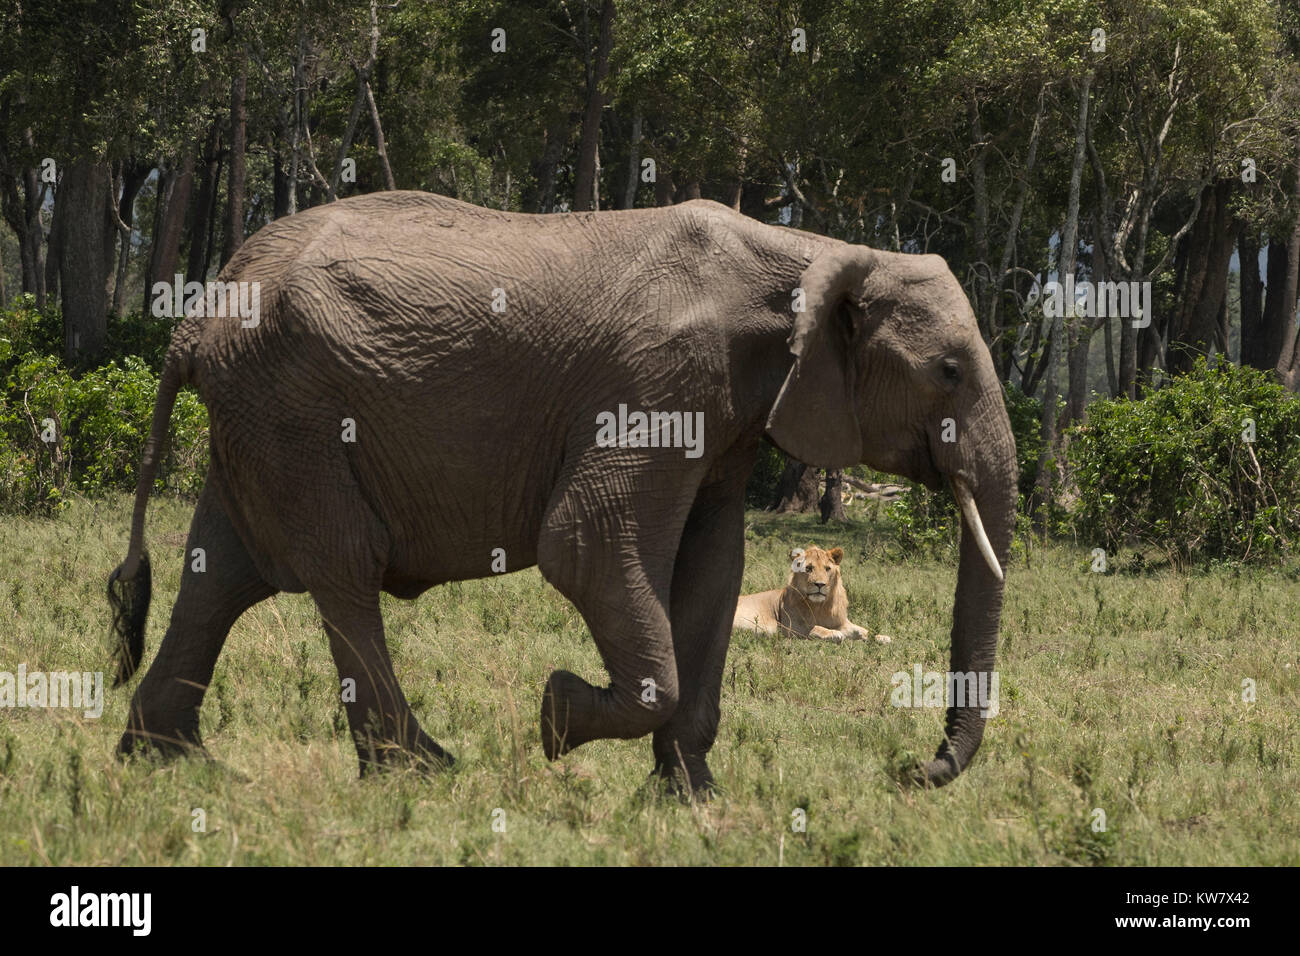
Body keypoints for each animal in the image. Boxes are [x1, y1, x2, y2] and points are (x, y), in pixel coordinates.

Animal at [733, 545, 891, 644]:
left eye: (827, 569)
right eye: (808, 568)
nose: (820, 584)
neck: (821, 606)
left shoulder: (842, 622)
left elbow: (862, 630)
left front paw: (882, 637)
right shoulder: (790, 627)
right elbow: (815, 628)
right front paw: (833, 633)